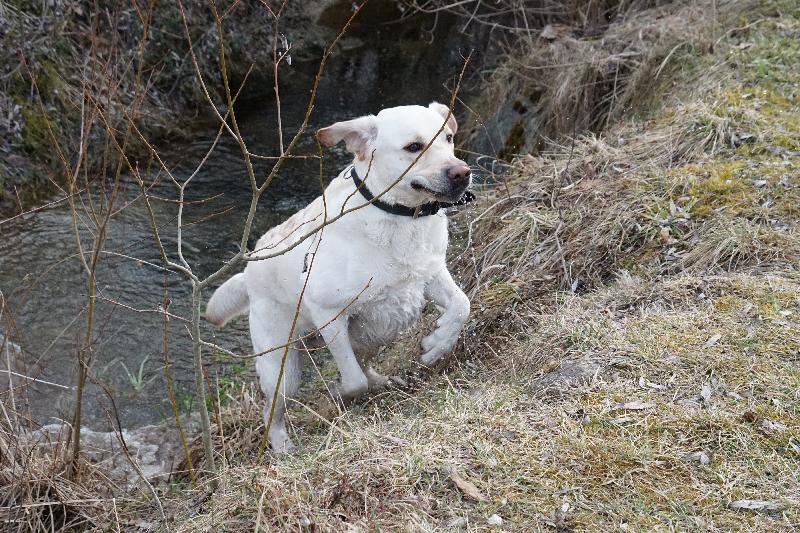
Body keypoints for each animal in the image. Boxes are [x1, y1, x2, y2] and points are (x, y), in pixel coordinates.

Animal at [206, 102, 472, 452]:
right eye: (414, 147)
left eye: (449, 138)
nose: (462, 173)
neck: (393, 213)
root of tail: (249, 271)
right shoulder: (328, 312)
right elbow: (353, 381)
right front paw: (338, 393)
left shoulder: (429, 274)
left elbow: (462, 305)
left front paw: (438, 344)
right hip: (282, 368)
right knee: (272, 410)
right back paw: (282, 446)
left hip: (373, 332)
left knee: (365, 364)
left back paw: (383, 381)